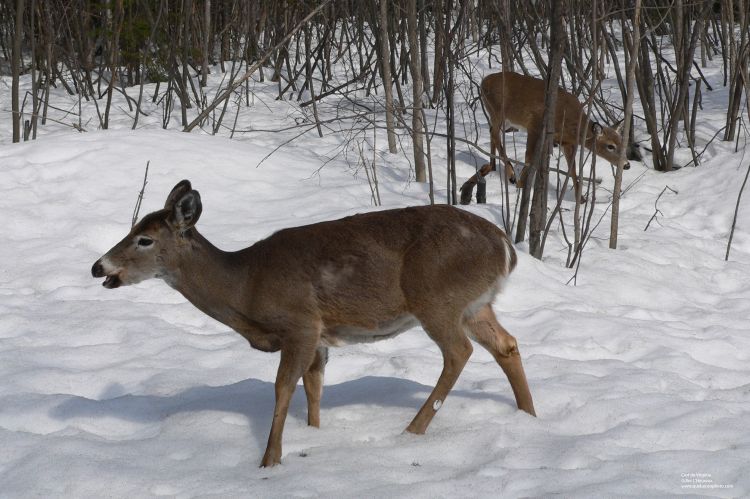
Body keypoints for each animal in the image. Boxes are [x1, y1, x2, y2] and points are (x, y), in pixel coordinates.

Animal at [92, 181, 536, 468]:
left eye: (145, 239)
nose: (99, 266)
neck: (245, 286)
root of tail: (505, 246)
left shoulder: (300, 322)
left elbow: (282, 388)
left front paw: (269, 462)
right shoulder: (320, 336)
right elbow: (314, 387)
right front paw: (314, 435)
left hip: (436, 298)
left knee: (459, 352)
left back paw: (412, 430)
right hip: (475, 305)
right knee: (507, 344)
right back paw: (528, 416)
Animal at [462, 70, 644, 205]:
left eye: (621, 142)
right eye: (610, 146)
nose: (627, 165)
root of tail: (484, 81)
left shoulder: (566, 142)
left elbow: (573, 169)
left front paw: (581, 199)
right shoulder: (534, 126)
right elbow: (529, 157)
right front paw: (521, 184)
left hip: (500, 117)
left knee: (493, 133)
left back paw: (491, 166)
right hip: (497, 110)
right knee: (494, 134)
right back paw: (510, 174)